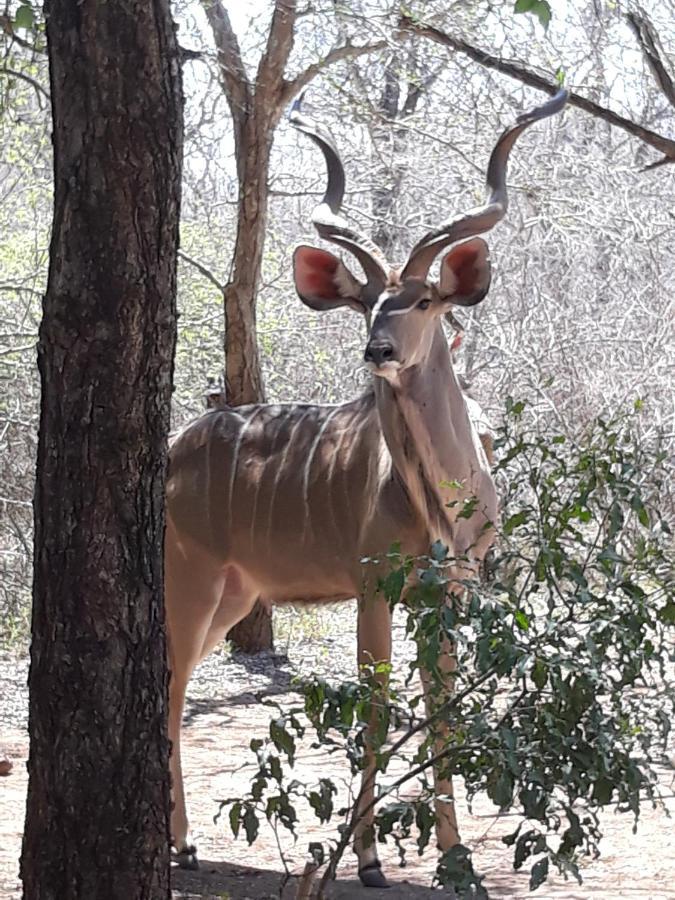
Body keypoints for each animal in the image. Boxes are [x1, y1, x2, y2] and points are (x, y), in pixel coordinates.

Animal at [166, 93, 568, 884]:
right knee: (166, 690)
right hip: (188, 582)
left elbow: (442, 708)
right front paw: (371, 857)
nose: (377, 350)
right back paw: (183, 843)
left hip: (234, 597)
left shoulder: (447, 594)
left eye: (421, 301)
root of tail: (170, 450)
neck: (439, 504)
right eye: (367, 304)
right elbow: (377, 708)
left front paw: (455, 855)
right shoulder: (373, 589)